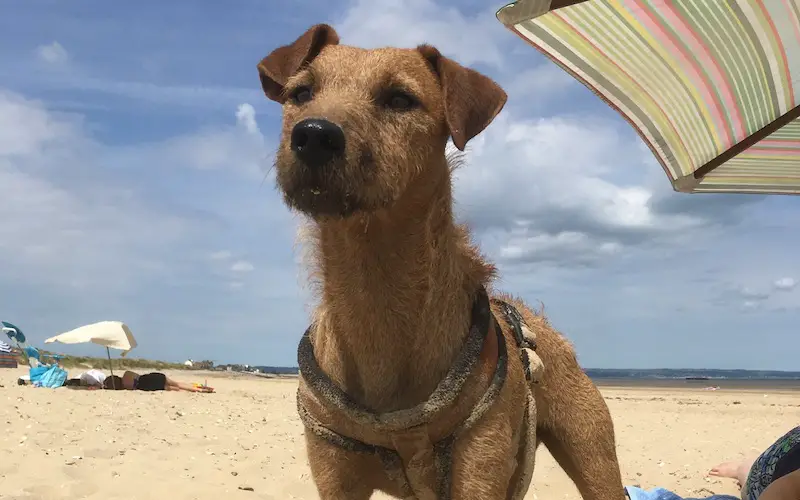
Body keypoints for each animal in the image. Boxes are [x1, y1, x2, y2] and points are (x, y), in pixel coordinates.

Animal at [260, 25, 620, 500]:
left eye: (400, 99)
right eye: (301, 93)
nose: (314, 135)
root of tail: (542, 326)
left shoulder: (479, 471)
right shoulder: (335, 476)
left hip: (593, 456)